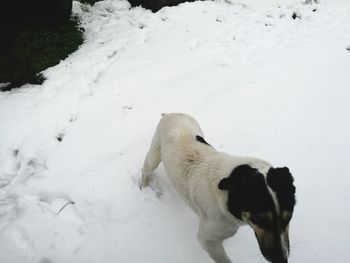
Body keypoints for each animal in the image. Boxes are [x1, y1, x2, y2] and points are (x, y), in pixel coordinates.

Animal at [142, 113, 296, 263]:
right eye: (259, 219)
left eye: (289, 217)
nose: (281, 259)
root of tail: (170, 114)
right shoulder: (207, 240)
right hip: (154, 155)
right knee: (146, 169)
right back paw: (143, 187)